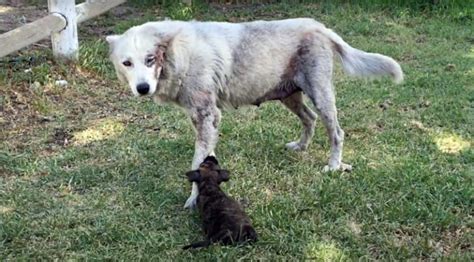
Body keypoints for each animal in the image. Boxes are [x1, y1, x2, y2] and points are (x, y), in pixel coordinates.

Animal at [106, 17, 404, 208]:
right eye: (127, 63)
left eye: (149, 59)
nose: (142, 88)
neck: (177, 54)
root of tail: (320, 27)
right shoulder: (201, 120)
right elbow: (204, 158)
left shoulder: (207, 117)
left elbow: (197, 163)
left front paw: (193, 200)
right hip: (291, 97)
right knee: (309, 119)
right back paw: (301, 147)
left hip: (321, 96)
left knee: (337, 133)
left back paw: (333, 166)